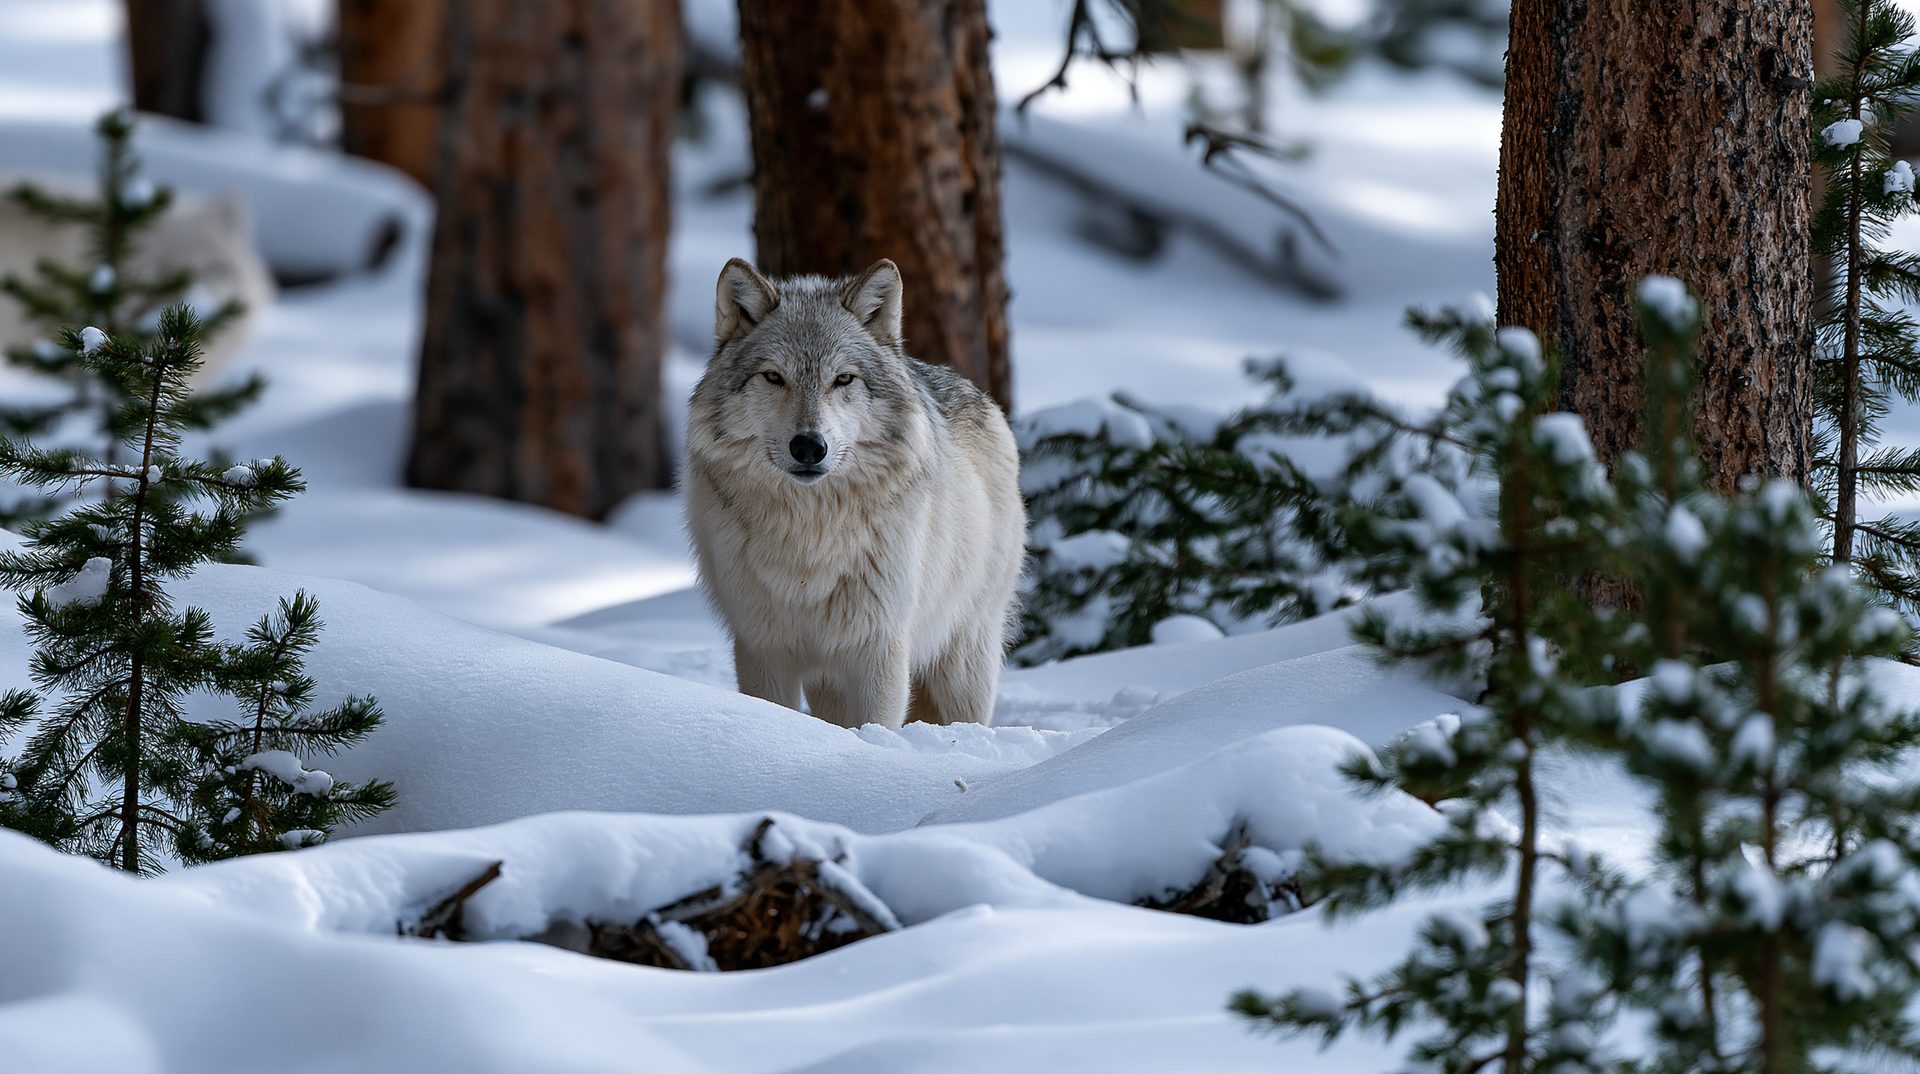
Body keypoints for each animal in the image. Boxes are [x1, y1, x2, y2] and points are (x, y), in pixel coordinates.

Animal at [684, 258, 1026, 730]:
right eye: (773, 377)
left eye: (843, 379)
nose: (809, 446)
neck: (808, 539)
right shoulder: (762, 648)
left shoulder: (879, 648)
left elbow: (877, 725)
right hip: (828, 680)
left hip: (963, 663)